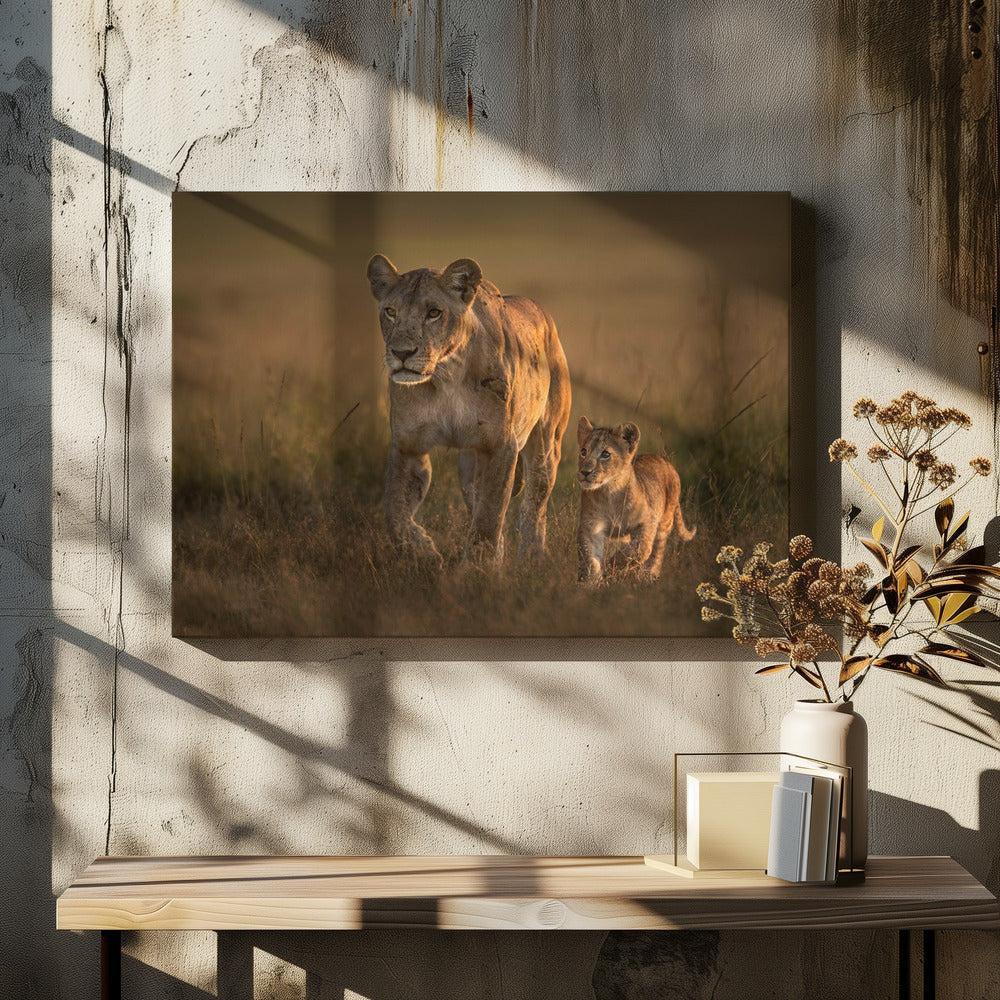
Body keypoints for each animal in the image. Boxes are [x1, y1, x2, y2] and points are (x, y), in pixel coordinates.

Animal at [366, 253, 572, 567]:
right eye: (390, 311)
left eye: (434, 313)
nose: (401, 353)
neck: (446, 375)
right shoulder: (408, 446)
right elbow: (396, 514)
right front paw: (425, 553)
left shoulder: (501, 446)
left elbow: (489, 516)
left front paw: (477, 570)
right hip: (468, 464)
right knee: (476, 497)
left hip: (546, 444)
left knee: (534, 504)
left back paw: (532, 558)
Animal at [576, 416, 696, 584]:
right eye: (583, 451)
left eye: (605, 454)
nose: (585, 472)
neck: (610, 492)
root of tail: (665, 461)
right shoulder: (590, 526)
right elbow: (590, 557)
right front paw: (590, 582)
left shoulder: (647, 521)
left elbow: (641, 549)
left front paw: (613, 564)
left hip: (665, 521)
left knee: (657, 552)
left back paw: (647, 575)